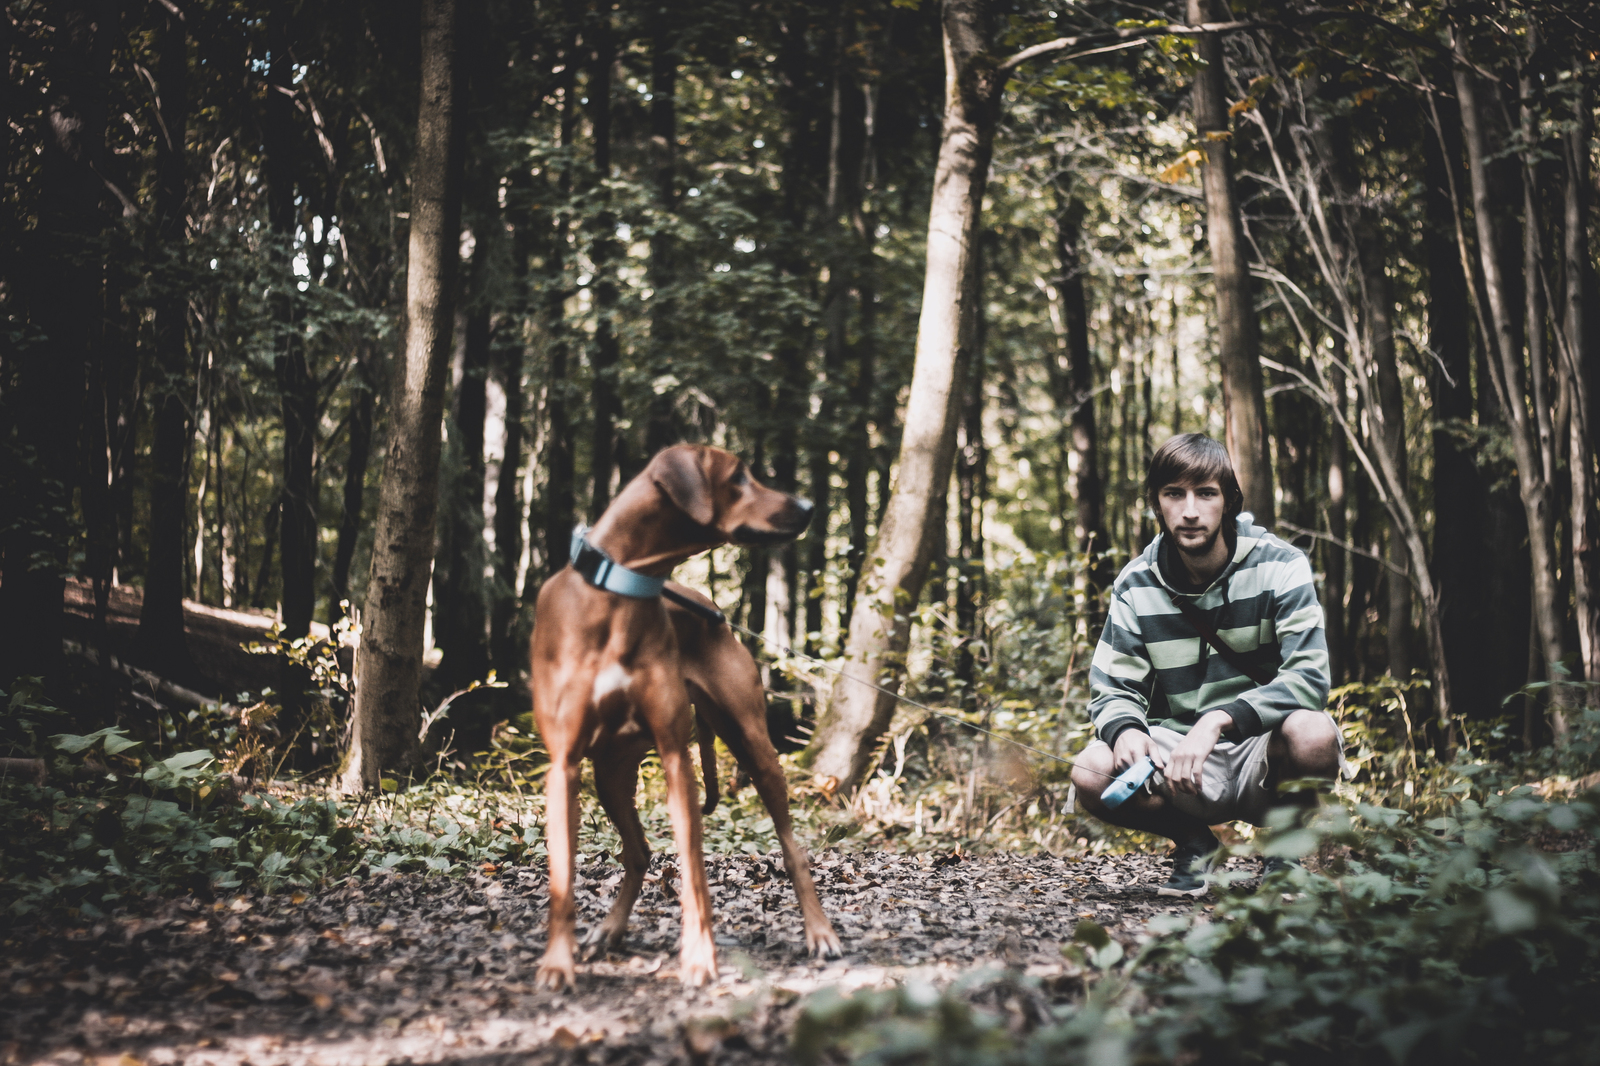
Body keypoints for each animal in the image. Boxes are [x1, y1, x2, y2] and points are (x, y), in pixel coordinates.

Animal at [531, 441, 844, 985]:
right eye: (739, 477)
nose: (807, 506)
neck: (621, 590)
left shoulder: (677, 757)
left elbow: (695, 873)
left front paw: (700, 958)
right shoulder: (564, 766)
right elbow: (562, 879)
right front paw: (556, 962)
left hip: (754, 746)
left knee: (792, 850)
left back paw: (819, 932)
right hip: (610, 775)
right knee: (638, 853)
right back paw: (608, 930)